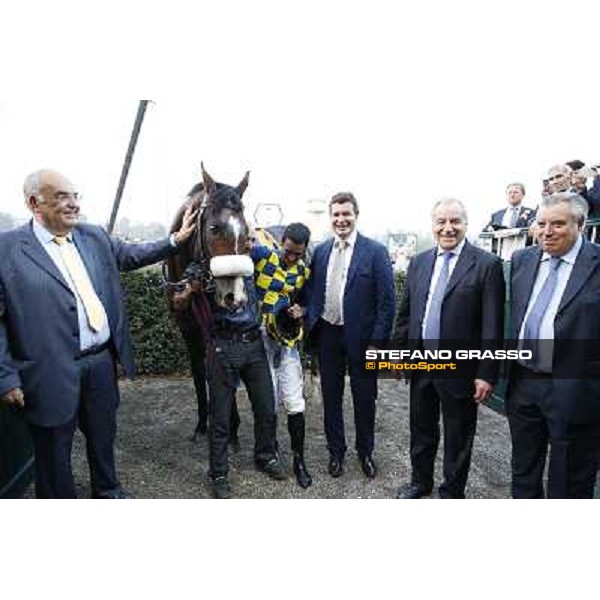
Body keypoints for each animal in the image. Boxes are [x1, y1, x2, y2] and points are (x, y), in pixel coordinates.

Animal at [164, 164, 251, 440]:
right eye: (213, 228)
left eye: (247, 232)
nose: (234, 296)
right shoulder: (188, 328)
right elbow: (199, 371)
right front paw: (204, 421)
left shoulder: (218, 328)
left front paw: (231, 425)